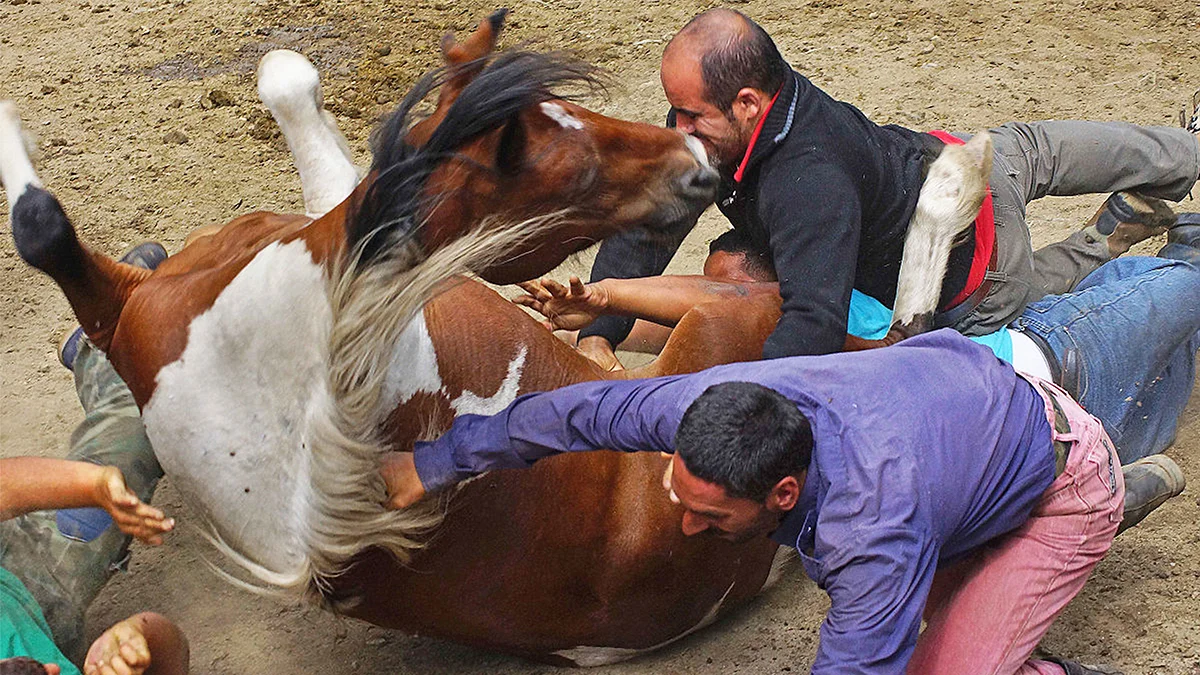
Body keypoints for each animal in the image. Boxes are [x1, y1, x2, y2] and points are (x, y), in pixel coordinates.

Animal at [0, 11, 988, 662]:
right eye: (574, 160)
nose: (699, 171)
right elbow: (44, 224)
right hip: (734, 309)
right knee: (897, 330)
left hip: (736, 314)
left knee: (906, 327)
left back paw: (954, 174)